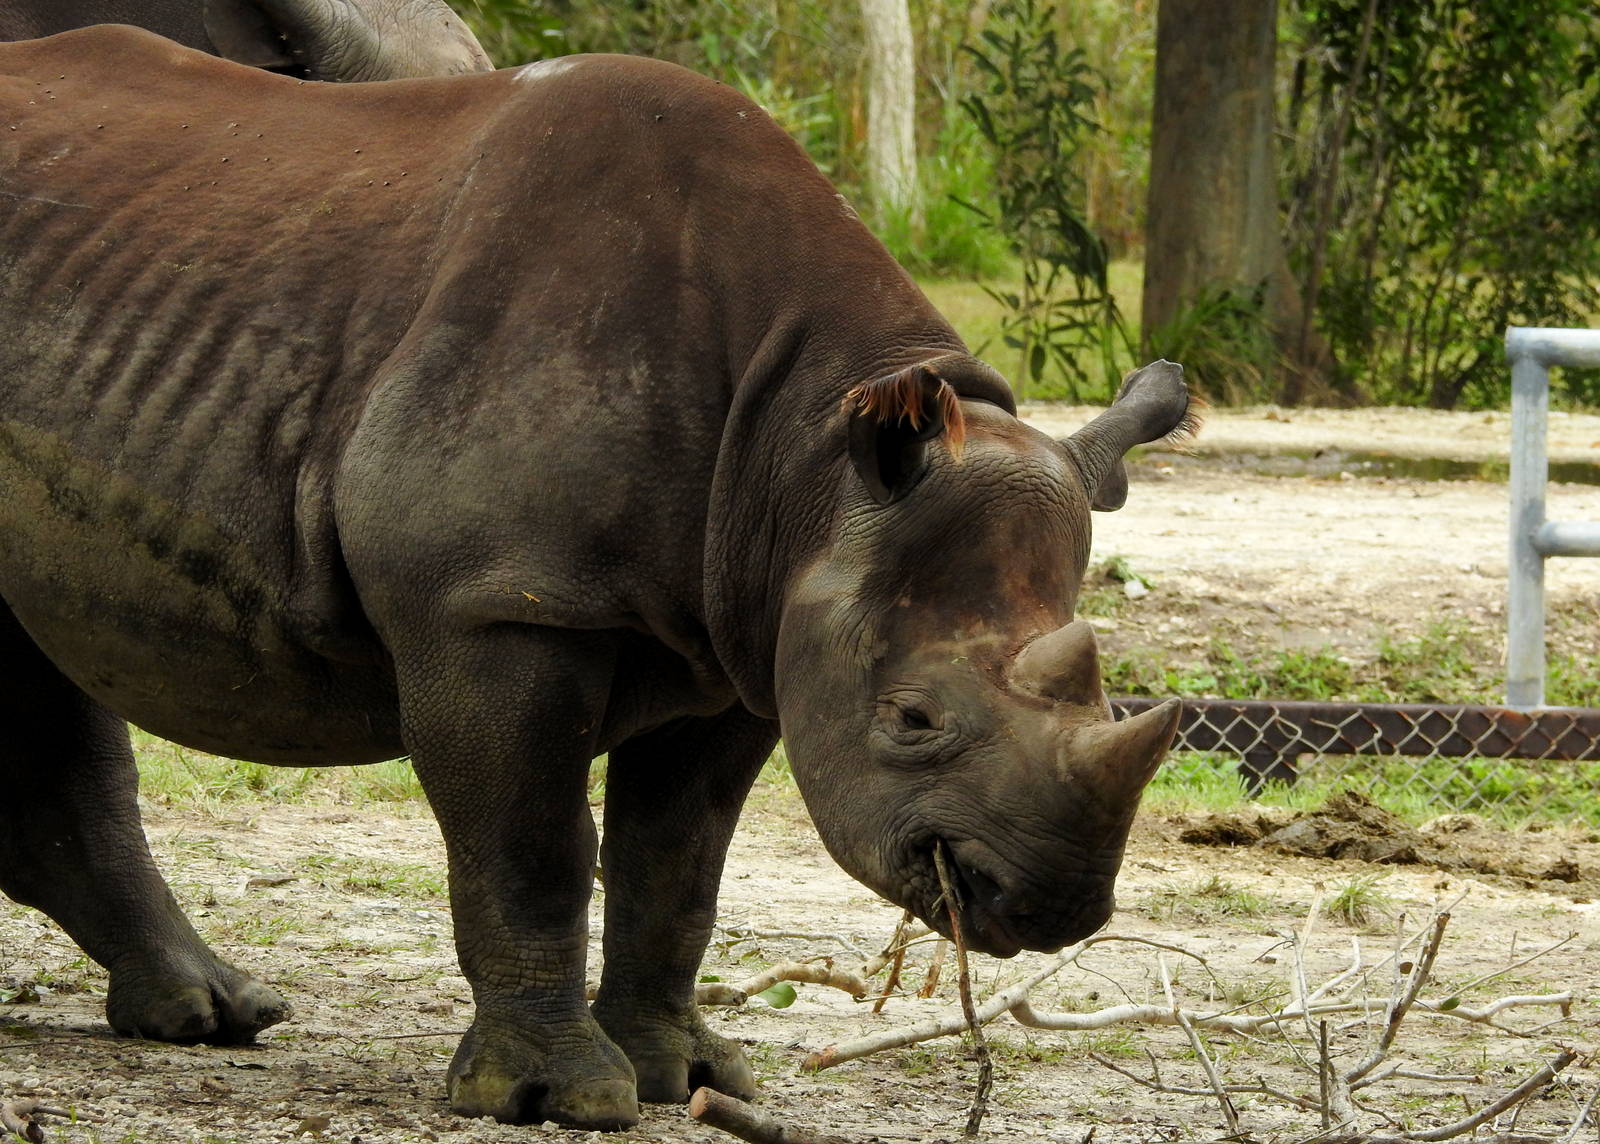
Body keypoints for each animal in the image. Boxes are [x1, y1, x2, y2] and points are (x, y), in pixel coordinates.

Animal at [0, 28, 1192, 1130]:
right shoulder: (493, 603)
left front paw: (687, 1078)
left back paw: (212, 1015)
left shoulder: (744, 635)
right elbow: (533, 846)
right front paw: (548, 1097)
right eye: (911, 719)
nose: (1050, 900)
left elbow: (680, 866)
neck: (807, 457)